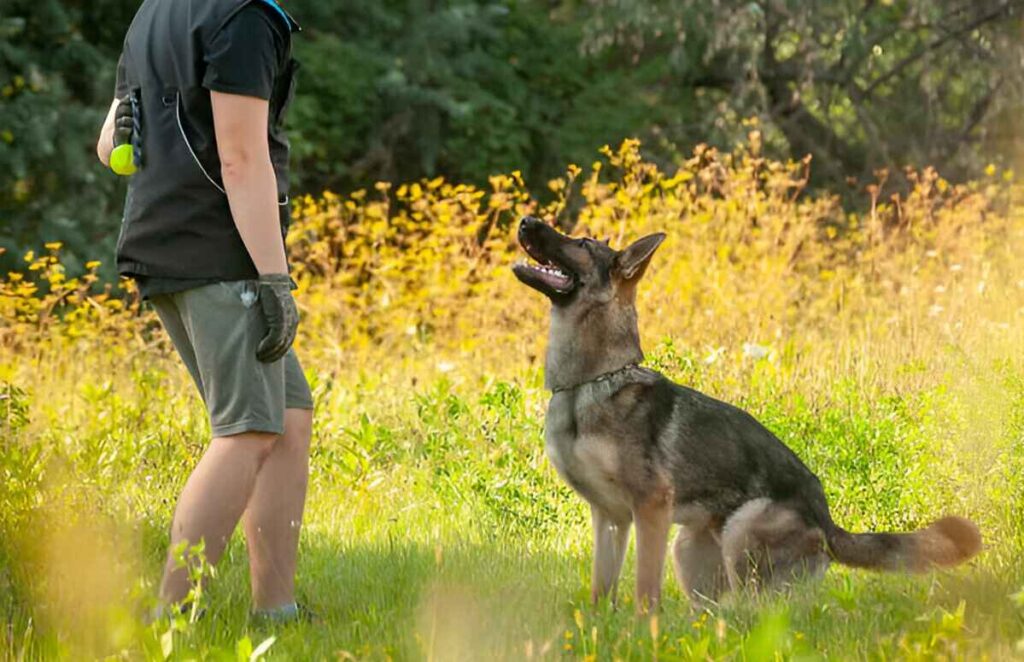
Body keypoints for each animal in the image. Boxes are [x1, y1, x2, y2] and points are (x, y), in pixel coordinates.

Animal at [516, 216, 978, 610]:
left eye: (581, 243)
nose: (526, 221)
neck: (589, 383)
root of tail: (828, 525)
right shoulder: (610, 518)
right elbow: (601, 591)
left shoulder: (650, 510)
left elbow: (646, 591)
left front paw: (643, 633)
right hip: (688, 547)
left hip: (741, 530)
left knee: (756, 613)